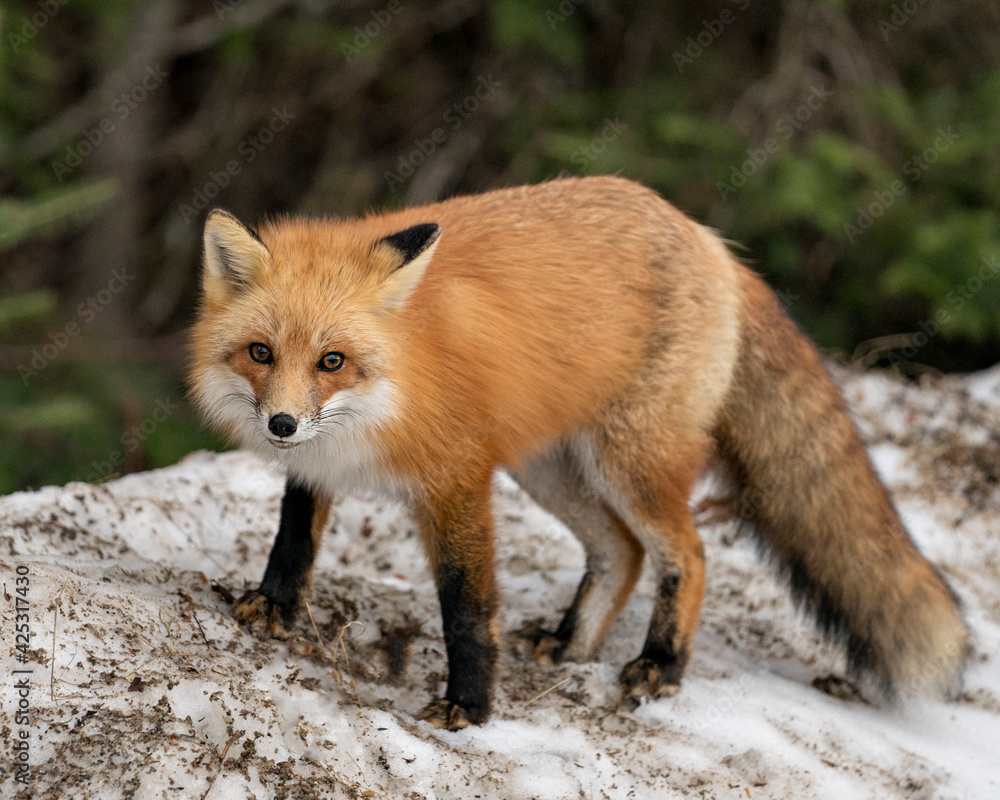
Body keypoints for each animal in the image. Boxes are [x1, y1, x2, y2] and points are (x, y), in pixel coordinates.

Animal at [189, 176, 970, 730]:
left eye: (333, 361)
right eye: (260, 353)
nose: (282, 424)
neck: (398, 381)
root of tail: (709, 240)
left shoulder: (458, 481)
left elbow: (466, 606)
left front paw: (470, 708)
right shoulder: (319, 465)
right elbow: (293, 539)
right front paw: (272, 607)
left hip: (630, 464)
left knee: (688, 553)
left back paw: (660, 665)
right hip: (552, 469)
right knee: (621, 554)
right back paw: (570, 646)